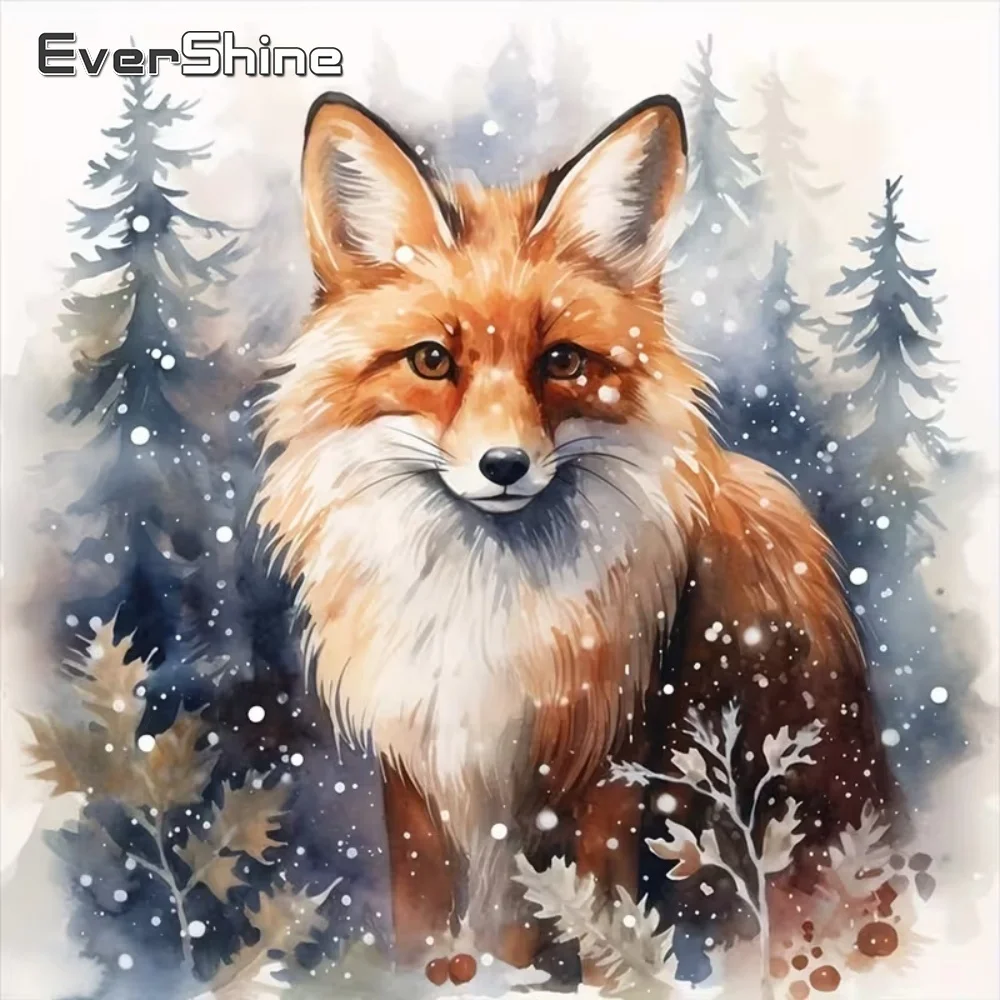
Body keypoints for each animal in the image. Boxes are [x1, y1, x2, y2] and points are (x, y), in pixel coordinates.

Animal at [254, 92, 897, 982]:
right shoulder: (419, 777)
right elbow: (425, 927)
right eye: (431, 360)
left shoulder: (606, 772)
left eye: (561, 360)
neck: (486, 608)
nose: (504, 465)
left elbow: (602, 937)